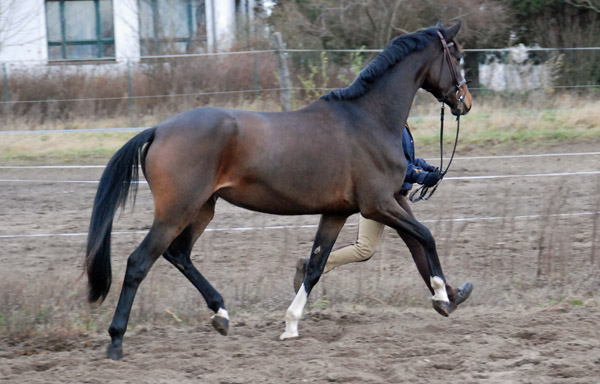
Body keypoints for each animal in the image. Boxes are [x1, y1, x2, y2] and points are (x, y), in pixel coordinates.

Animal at [85, 21, 468, 358]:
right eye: (458, 55)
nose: (465, 102)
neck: (367, 119)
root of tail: (159, 130)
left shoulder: (338, 211)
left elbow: (315, 266)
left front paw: (291, 325)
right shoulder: (378, 204)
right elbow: (425, 235)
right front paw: (442, 296)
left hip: (203, 208)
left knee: (178, 254)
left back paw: (221, 314)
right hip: (176, 210)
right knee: (139, 262)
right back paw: (116, 341)